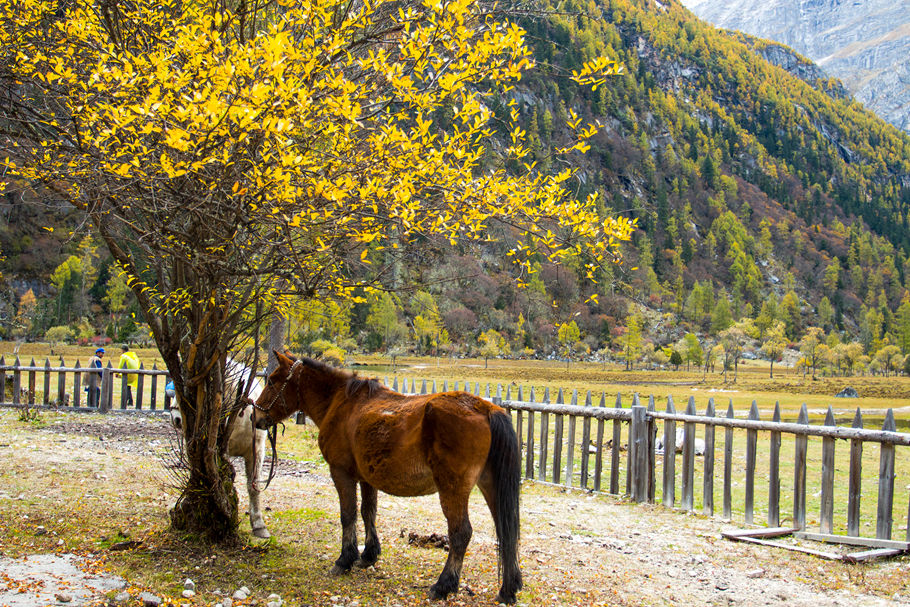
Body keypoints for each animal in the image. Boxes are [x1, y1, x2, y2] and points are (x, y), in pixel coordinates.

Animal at [253, 352, 524, 604]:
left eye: (273, 381)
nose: (256, 418)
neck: (341, 404)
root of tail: (486, 409)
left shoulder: (341, 473)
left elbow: (348, 514)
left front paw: (344, 559)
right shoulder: (366, 478)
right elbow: (368, 512)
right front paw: (368, 555)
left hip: (453, 490)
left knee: (461, 533)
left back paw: (443, 585)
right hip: (489, 486)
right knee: (505, 530)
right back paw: (508, 590)